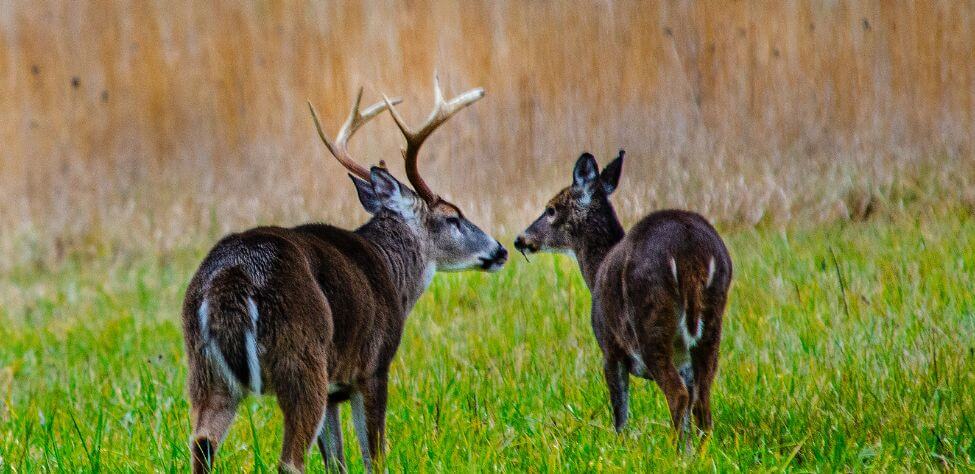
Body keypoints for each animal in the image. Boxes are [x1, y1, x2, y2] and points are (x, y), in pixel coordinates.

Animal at [180, 77, 510, 470]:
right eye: (453, 217)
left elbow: (336, 461)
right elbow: (374, 457)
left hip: (205, 369)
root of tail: (232, 275)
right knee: (290, 460)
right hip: (302, 357)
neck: (393, 271)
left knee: (202, 443)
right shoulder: (372, 366)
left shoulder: (336, 388)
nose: (500, 250)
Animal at [516, 151, 728, 452]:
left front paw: (620, 448)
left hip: (650, 321)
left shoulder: (609, 347)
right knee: (702, 401)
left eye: (551, 209)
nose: (520, 239)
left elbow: (620, 413)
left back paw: (676, 453)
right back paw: (700, 452)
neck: (597, 271)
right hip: (711, 325)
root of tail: (689, 249)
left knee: (678, 395)